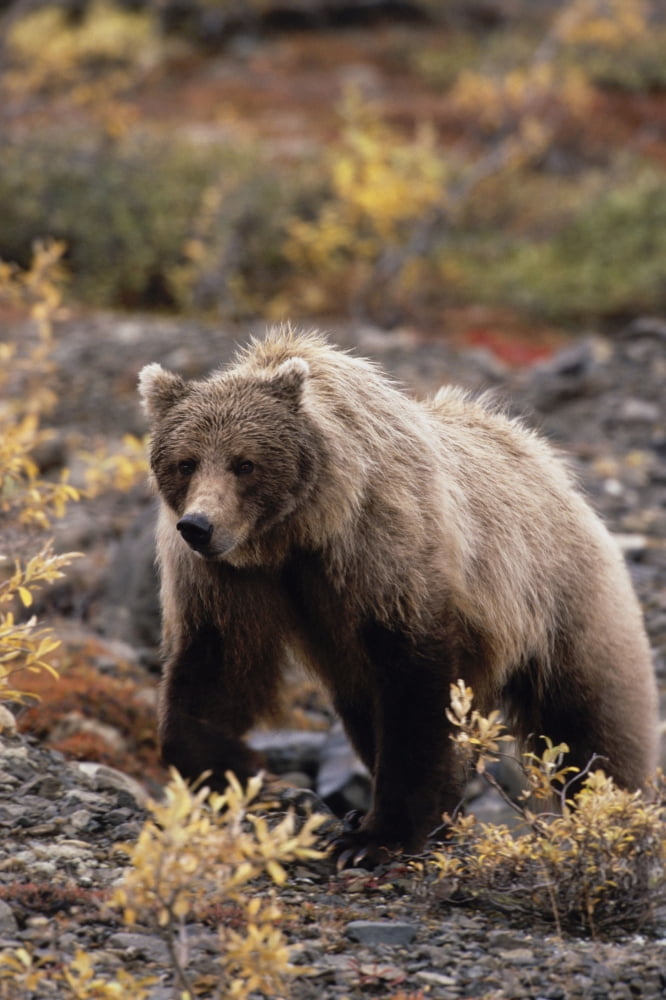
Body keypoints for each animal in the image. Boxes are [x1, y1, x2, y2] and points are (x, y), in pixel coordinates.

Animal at [139, 326, 659, 867]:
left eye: (245, 463)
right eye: (186, 462)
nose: (199, 526)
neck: (299, 531)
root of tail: (557, 472)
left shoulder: (386, 549)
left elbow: (415, 690)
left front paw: (376, 837)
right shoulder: (228, 579)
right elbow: (214, 667)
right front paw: (244, 775)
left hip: (563, 600)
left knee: (590, 719)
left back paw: (616, 813)